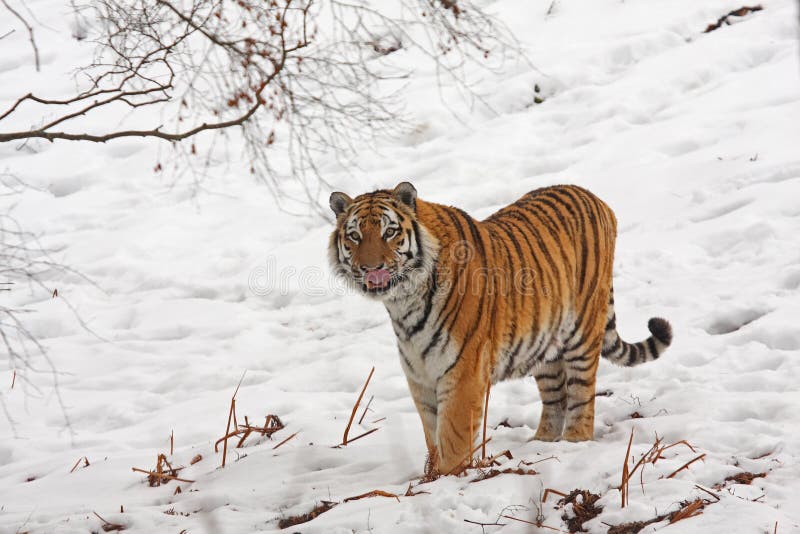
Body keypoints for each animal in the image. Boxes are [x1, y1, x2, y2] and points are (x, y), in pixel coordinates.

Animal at [328, 182, 672, 476]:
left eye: (389, 232)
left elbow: (452, 437)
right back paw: (542, 443)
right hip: (545, 344)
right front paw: (431, 477)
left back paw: (575, 440)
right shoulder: (420, 376)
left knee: (581, 394)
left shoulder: (463, 373)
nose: (371, 269)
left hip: (582, 331)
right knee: (555, 397)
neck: (403, 304)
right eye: (355, 236)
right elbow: (432, 434)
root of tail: (595, 197)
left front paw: (448, 478)